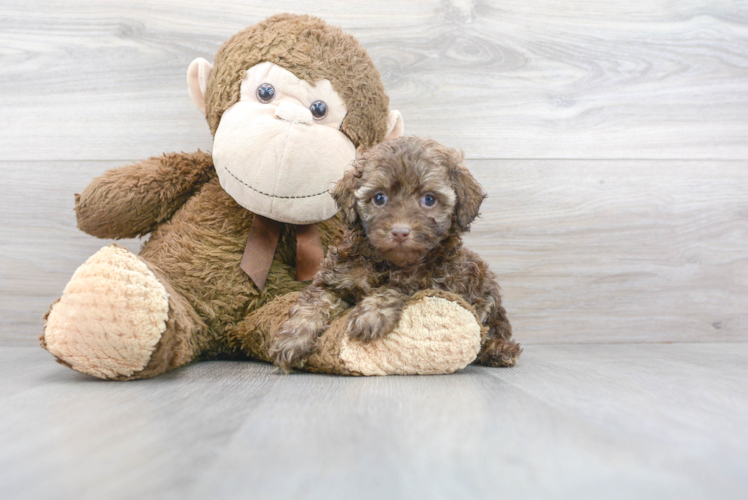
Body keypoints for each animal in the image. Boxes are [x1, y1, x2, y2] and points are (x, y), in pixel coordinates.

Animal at [268, 137, 520, 372]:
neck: (387, 261)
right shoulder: (334, 278)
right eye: (379, 198)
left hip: (486, 293)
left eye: (429, 199)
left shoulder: (434, 280)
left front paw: (371, 314)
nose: (400, 232)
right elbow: (314, 303)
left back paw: (499, 350)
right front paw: (293, 338)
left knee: (494, 328)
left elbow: (396, 287)